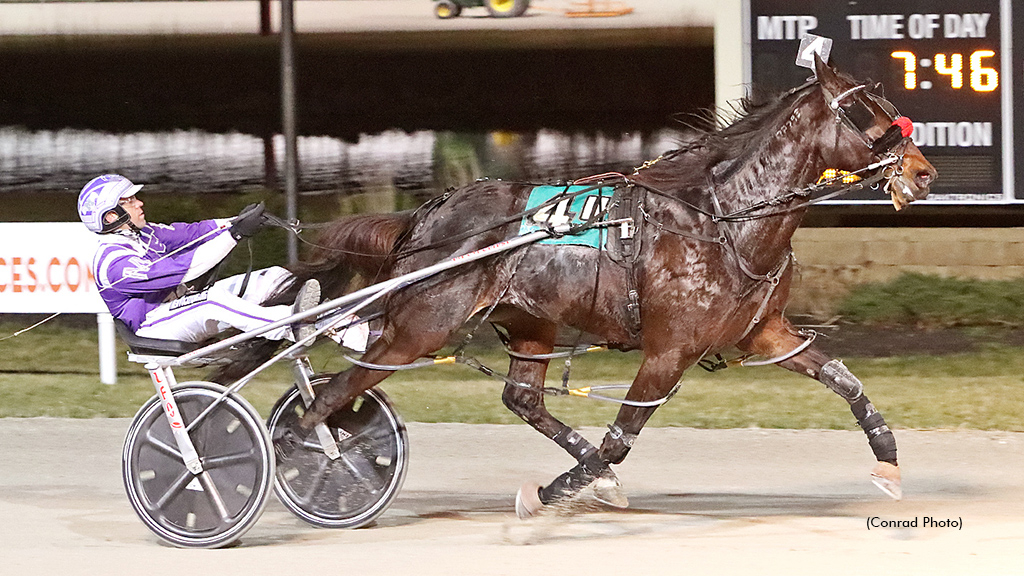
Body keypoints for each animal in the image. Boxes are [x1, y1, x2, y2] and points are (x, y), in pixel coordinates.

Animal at [234, 57, 937, 516]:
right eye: (862, 111)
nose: (923, 172)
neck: (722, 217)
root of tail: (427, 216)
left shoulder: (764, 333)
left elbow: (847, 381)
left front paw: (888, 462)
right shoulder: (668, 351)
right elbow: (622, 436)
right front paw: (562, 487)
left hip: (528, 322)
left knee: (520, 398)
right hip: (420, 325)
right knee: (334, 393)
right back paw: (298, 454)